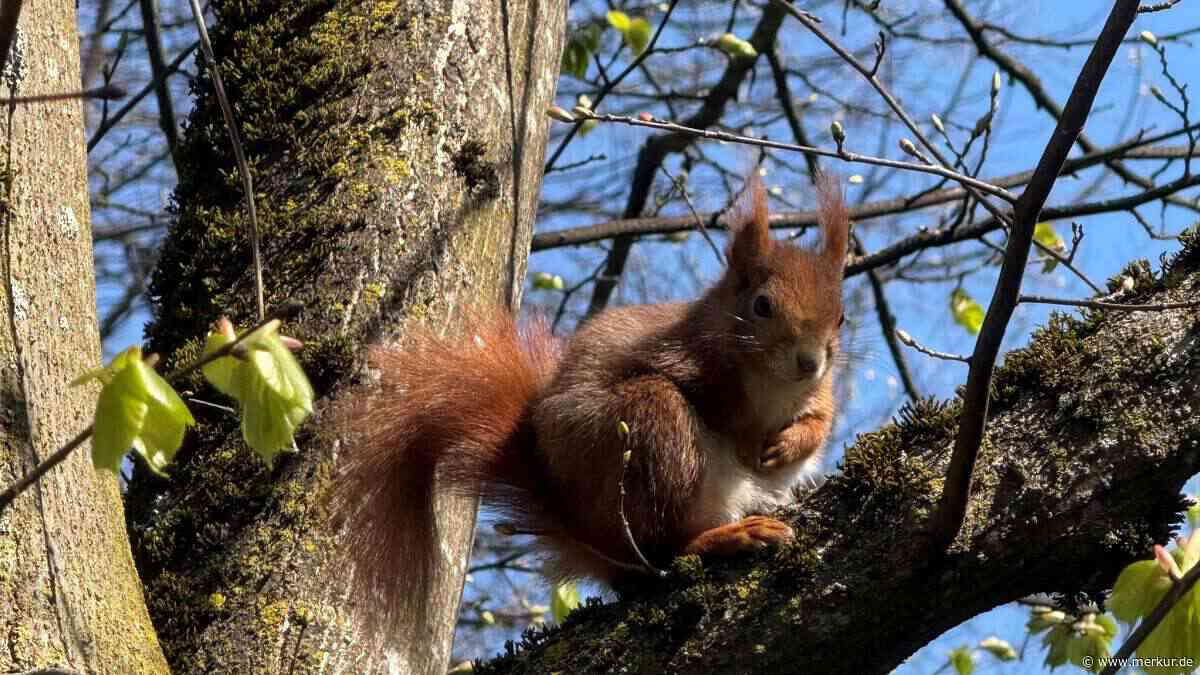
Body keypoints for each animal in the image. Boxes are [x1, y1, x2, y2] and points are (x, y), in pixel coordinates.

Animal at [331, 173, 849, 637]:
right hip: (650, 436)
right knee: (664, 550)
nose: (809, 361)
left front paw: (789, 445)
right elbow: (717, 407)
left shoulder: (820, 391)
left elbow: (821, 421)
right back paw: (723, 537)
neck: (773, 383)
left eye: (841, 316)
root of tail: (584, 528)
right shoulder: (683, 357)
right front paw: (746, 442)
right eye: (762, 306)